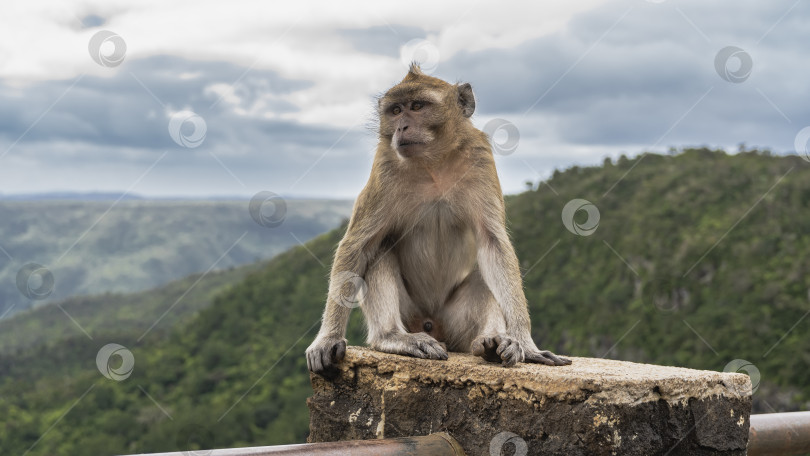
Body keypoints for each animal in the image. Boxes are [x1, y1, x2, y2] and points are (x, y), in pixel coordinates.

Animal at [306, 64, 572, 374]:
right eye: (395, 110)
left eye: (417, 106)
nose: (401, 127)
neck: (433, 163)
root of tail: (430, 324)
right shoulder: (384, 166)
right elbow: (357, 246)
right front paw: (328, 338)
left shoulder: (481, 158)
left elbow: (493, 244)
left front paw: (525, 344)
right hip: (411, 315)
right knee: (379, 249)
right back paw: (392, 337)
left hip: (454, 325)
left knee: (483, 275)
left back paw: (492, 342)